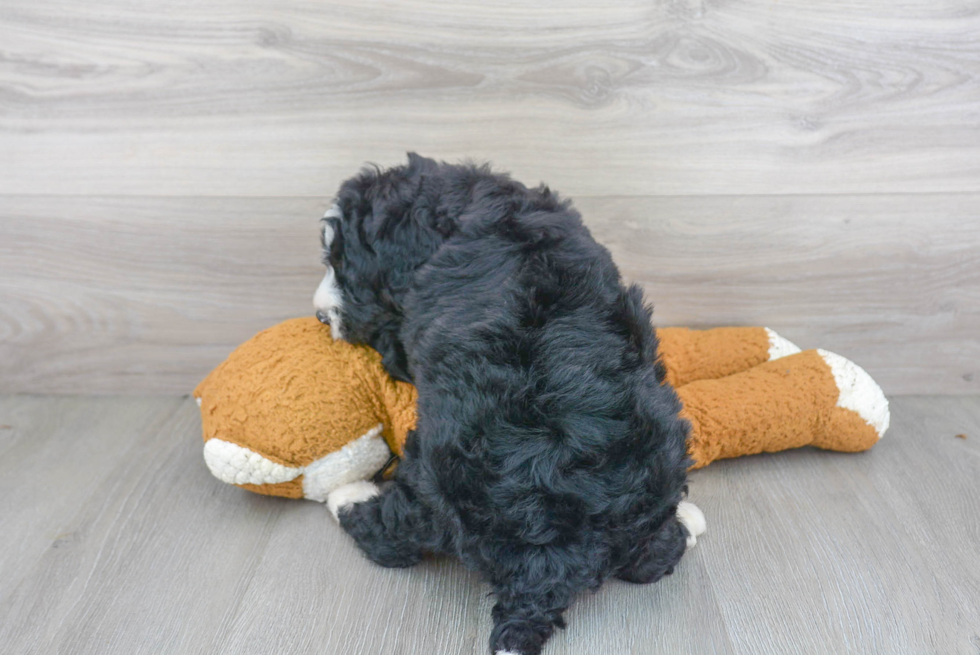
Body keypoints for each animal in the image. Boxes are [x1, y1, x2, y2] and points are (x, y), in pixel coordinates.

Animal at [314, 155, 704, 655]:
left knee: (393, 537)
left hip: (431, 476)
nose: (319, 315)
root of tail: (543, 563)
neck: (463, 206)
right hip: (658, 467)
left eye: (342, 265)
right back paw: (685, 523)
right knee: (653, 558)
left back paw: (350, 494)